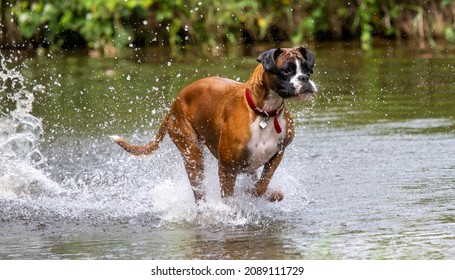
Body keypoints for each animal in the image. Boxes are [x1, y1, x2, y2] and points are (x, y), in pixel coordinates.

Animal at [110, 47, 318, 202]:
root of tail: (174, 104)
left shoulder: (277, 154)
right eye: (287, 70)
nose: (305, 78)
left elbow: (262, 183)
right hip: (192, 155)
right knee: (199, 192)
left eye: (308, 70)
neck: (264, 113)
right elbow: (230, 197)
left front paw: (266, 194)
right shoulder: (226, 167)